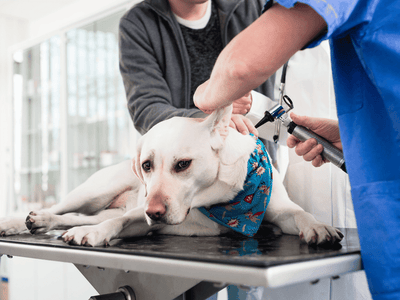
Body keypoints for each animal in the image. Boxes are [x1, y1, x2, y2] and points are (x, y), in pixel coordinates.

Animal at [0, 106, 344, 247]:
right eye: (147, 165)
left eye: (183, 164)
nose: (154, 211)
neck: (219, 200)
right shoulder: (141, 219)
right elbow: (119, 222)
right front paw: (95, 235)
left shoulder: (281, 212)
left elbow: (300, 214)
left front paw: (319, 227)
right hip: (93, 191)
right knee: (64, 208)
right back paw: (22, 220)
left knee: (75, 217)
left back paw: (44, 222)